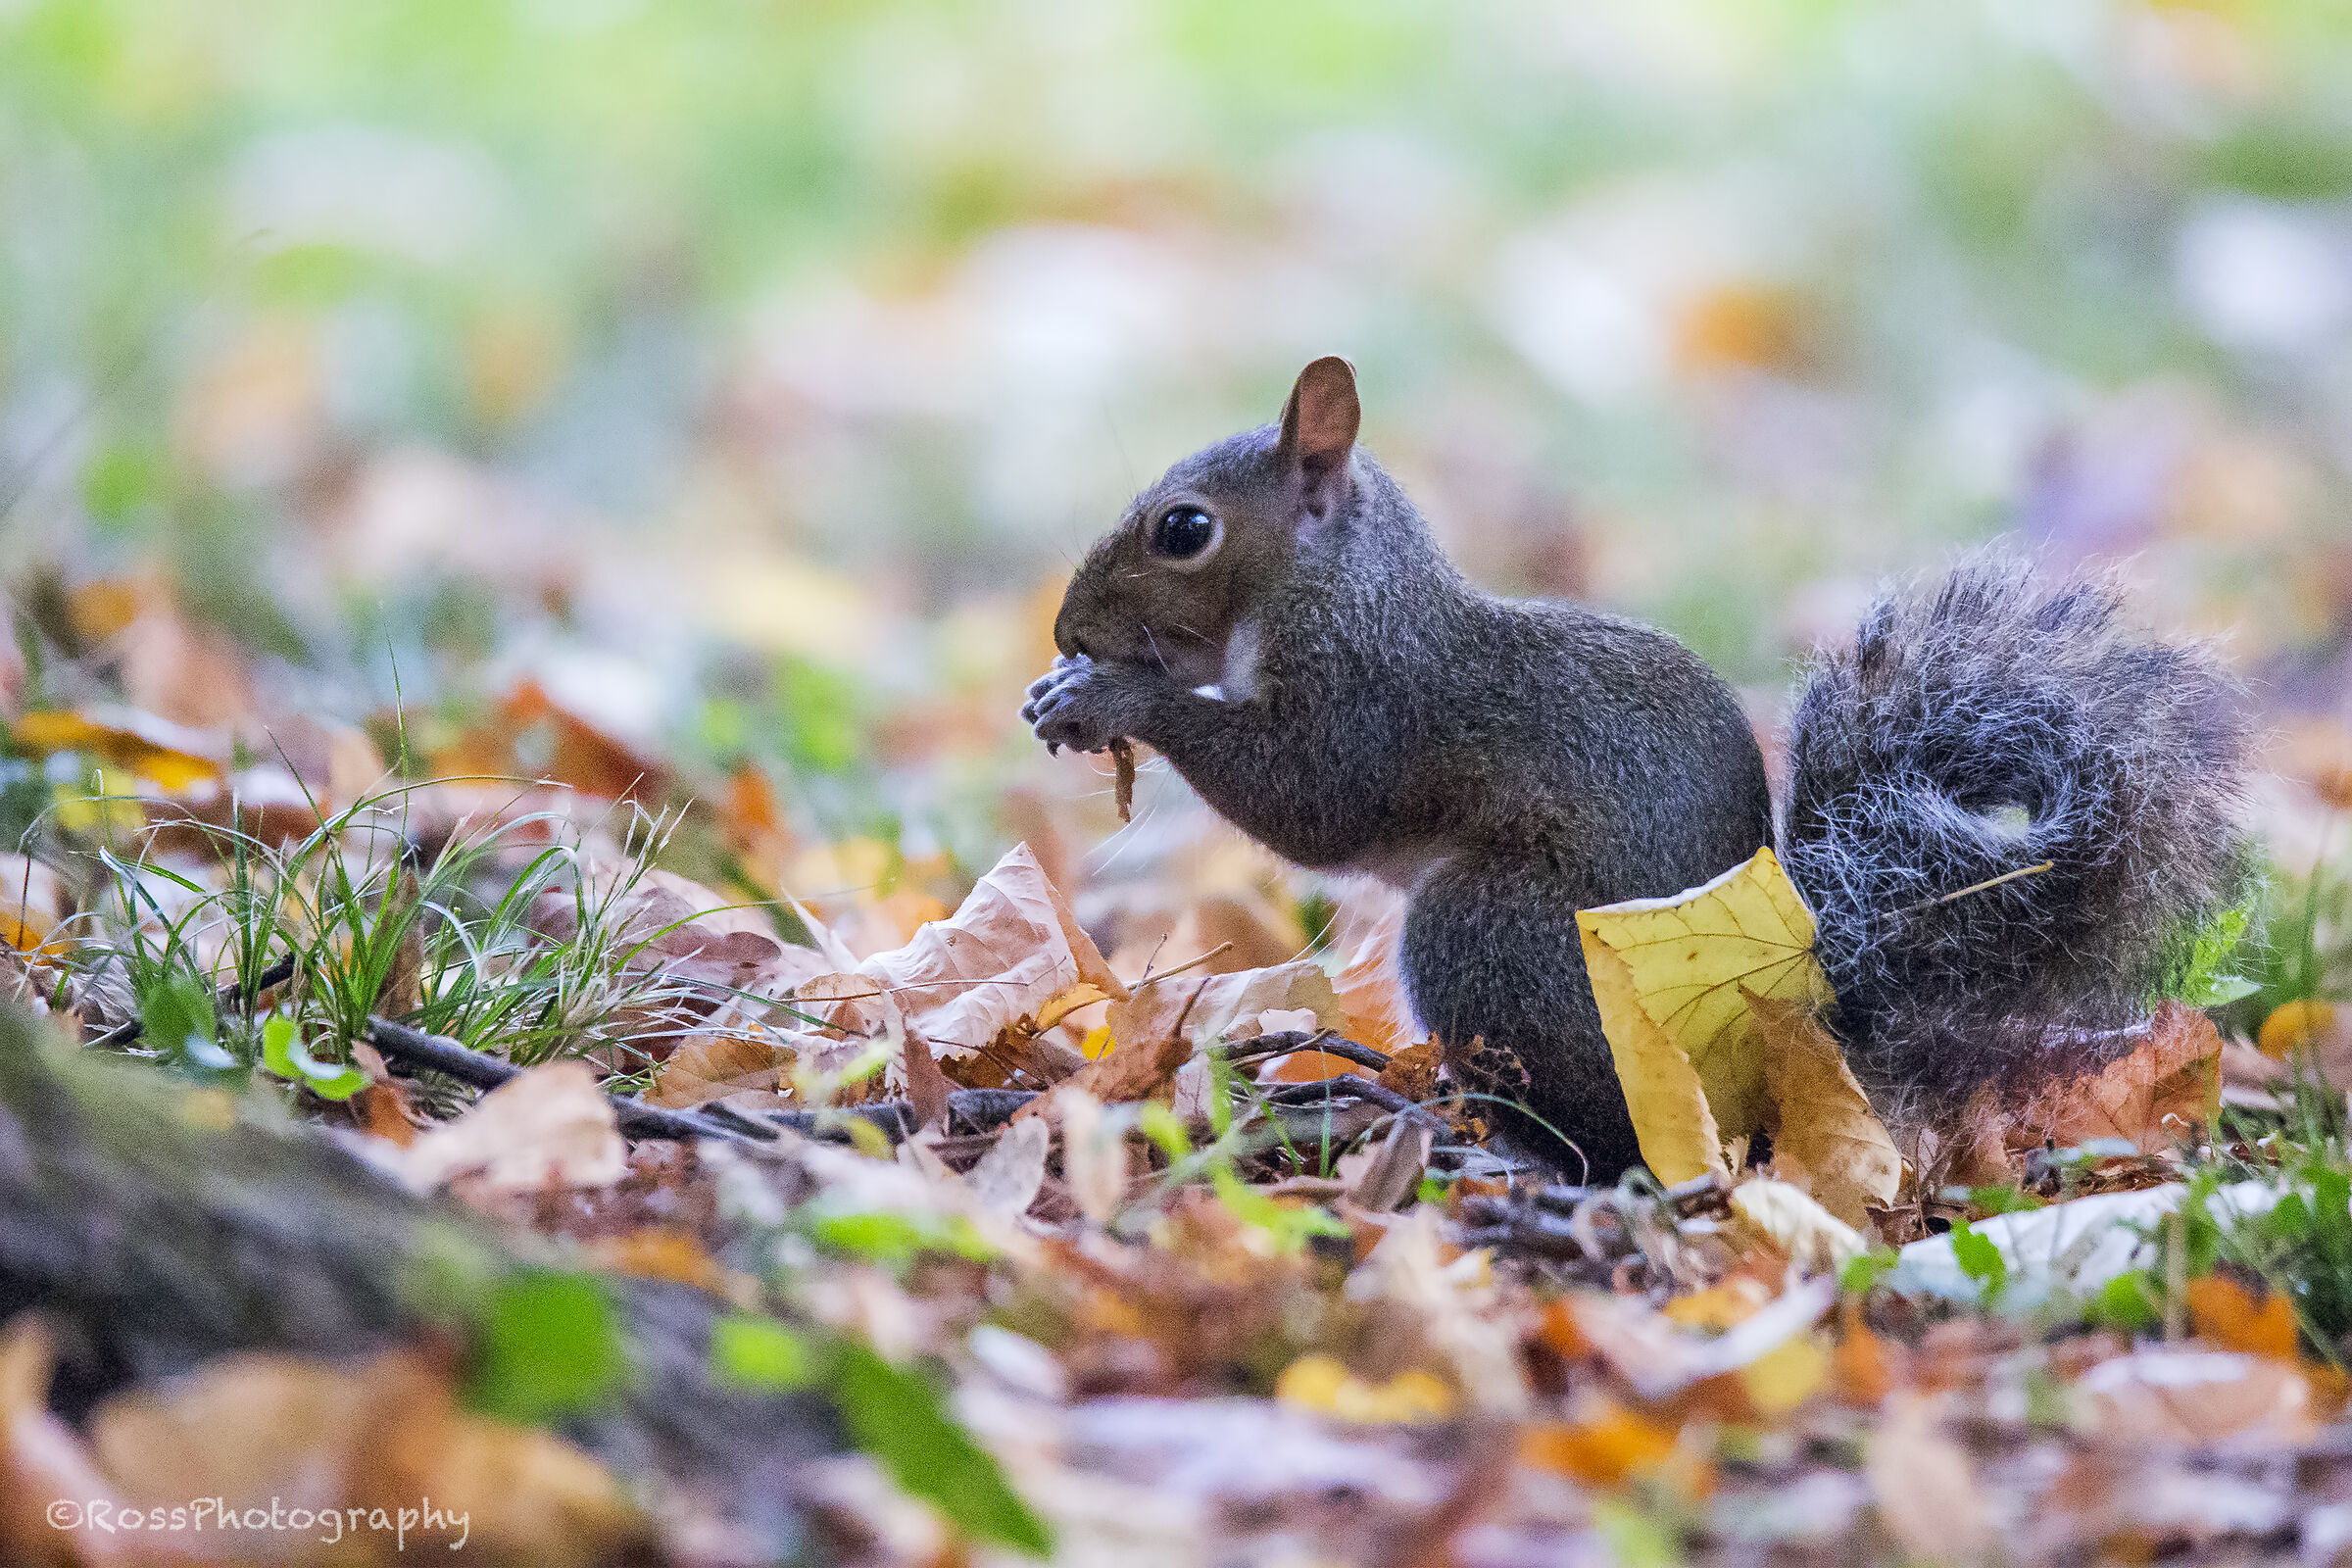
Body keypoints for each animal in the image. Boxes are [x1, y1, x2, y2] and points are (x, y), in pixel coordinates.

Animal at [1023, 356, 2252, 1178]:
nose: (1067, 628)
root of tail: (1792, 1020)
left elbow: (1307, 805)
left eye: (1185, 530)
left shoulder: (1370, 705)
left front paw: (1113, 696)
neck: (1342, 595)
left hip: (1494, 938)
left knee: (1605, 1138)